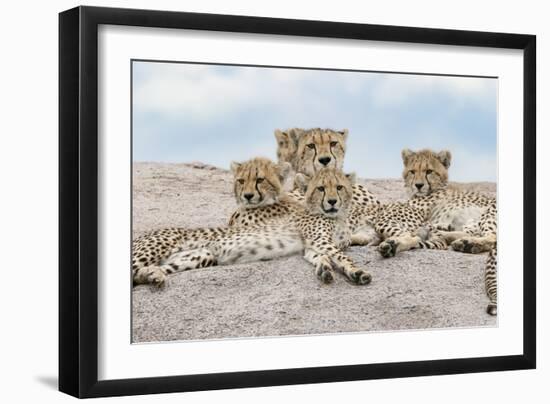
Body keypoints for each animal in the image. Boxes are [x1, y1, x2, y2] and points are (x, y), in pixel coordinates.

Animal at [133, 166, 374, 288]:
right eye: (321, 189)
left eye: (339, 187)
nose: (332, 201)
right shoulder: (320, 240)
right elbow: (341, 256)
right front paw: (358, 271)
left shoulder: (312, 245)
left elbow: (320, 256)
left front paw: (325, 269)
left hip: (197, 257)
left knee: (141, 275)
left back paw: (154, 275)